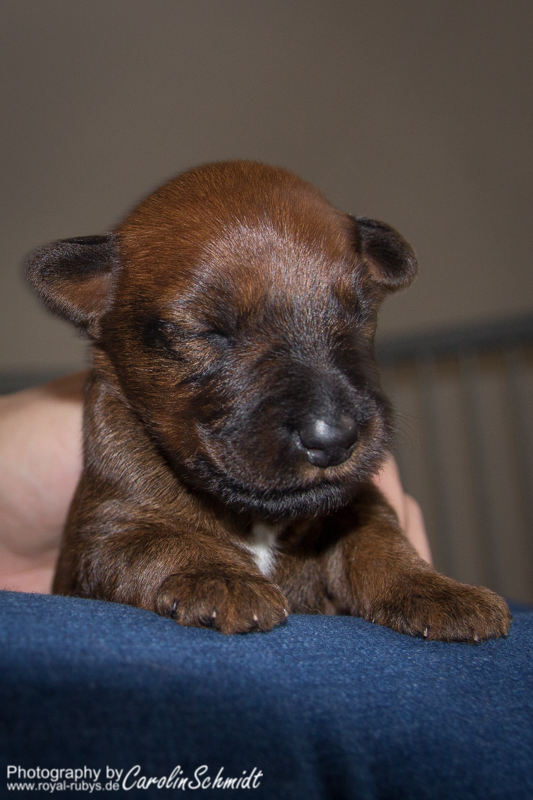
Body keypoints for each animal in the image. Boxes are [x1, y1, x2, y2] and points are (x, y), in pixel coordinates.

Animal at [27, 160, 511, 639]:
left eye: (361, 312)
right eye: (205, 331)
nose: (334, 439)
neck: (256, 520)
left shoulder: (355, 502)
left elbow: (379, 535)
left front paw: (437, 589)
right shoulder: (105, 527)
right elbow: (157, 541)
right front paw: (222, 577)